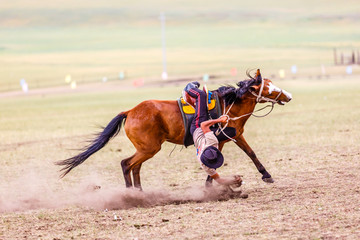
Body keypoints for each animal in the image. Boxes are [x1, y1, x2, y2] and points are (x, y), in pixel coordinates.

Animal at [56, 69, 292, 189]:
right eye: (269, 88)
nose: (288, 96)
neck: (230, 104)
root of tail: (130, 111)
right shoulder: (224, 139)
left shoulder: (230, 138)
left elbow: (250, 154)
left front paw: (265, 175)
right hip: (149, 148)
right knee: (126, 164)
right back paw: (131, 193)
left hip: (146, 149)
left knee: (135, 167)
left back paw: (139, 192)